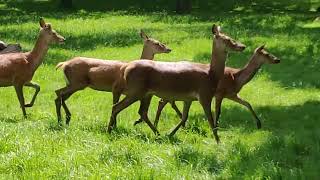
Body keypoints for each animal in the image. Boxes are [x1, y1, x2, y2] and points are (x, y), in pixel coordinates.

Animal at [109, 24, 246, 143]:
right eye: (227, 39)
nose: (243, 46)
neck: (212, 75)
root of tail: (126, 69)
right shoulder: (204, 95)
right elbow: (211, 120)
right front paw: (219, 142)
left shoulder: (189, 98)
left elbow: (184, 117)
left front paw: (170, 134)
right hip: (136, 90)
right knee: (116, 107)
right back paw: (110, 130)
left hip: (144, 93)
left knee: (136, 110)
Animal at [146, 45, 278, 129]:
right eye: (267, 54)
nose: (278, 59)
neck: (236, 78)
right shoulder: (220, 93)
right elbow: (218, 111)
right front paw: (215, 127)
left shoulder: (232, 94)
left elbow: (248, 104)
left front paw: (259, 124)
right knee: (162, 102)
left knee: (162, 102)